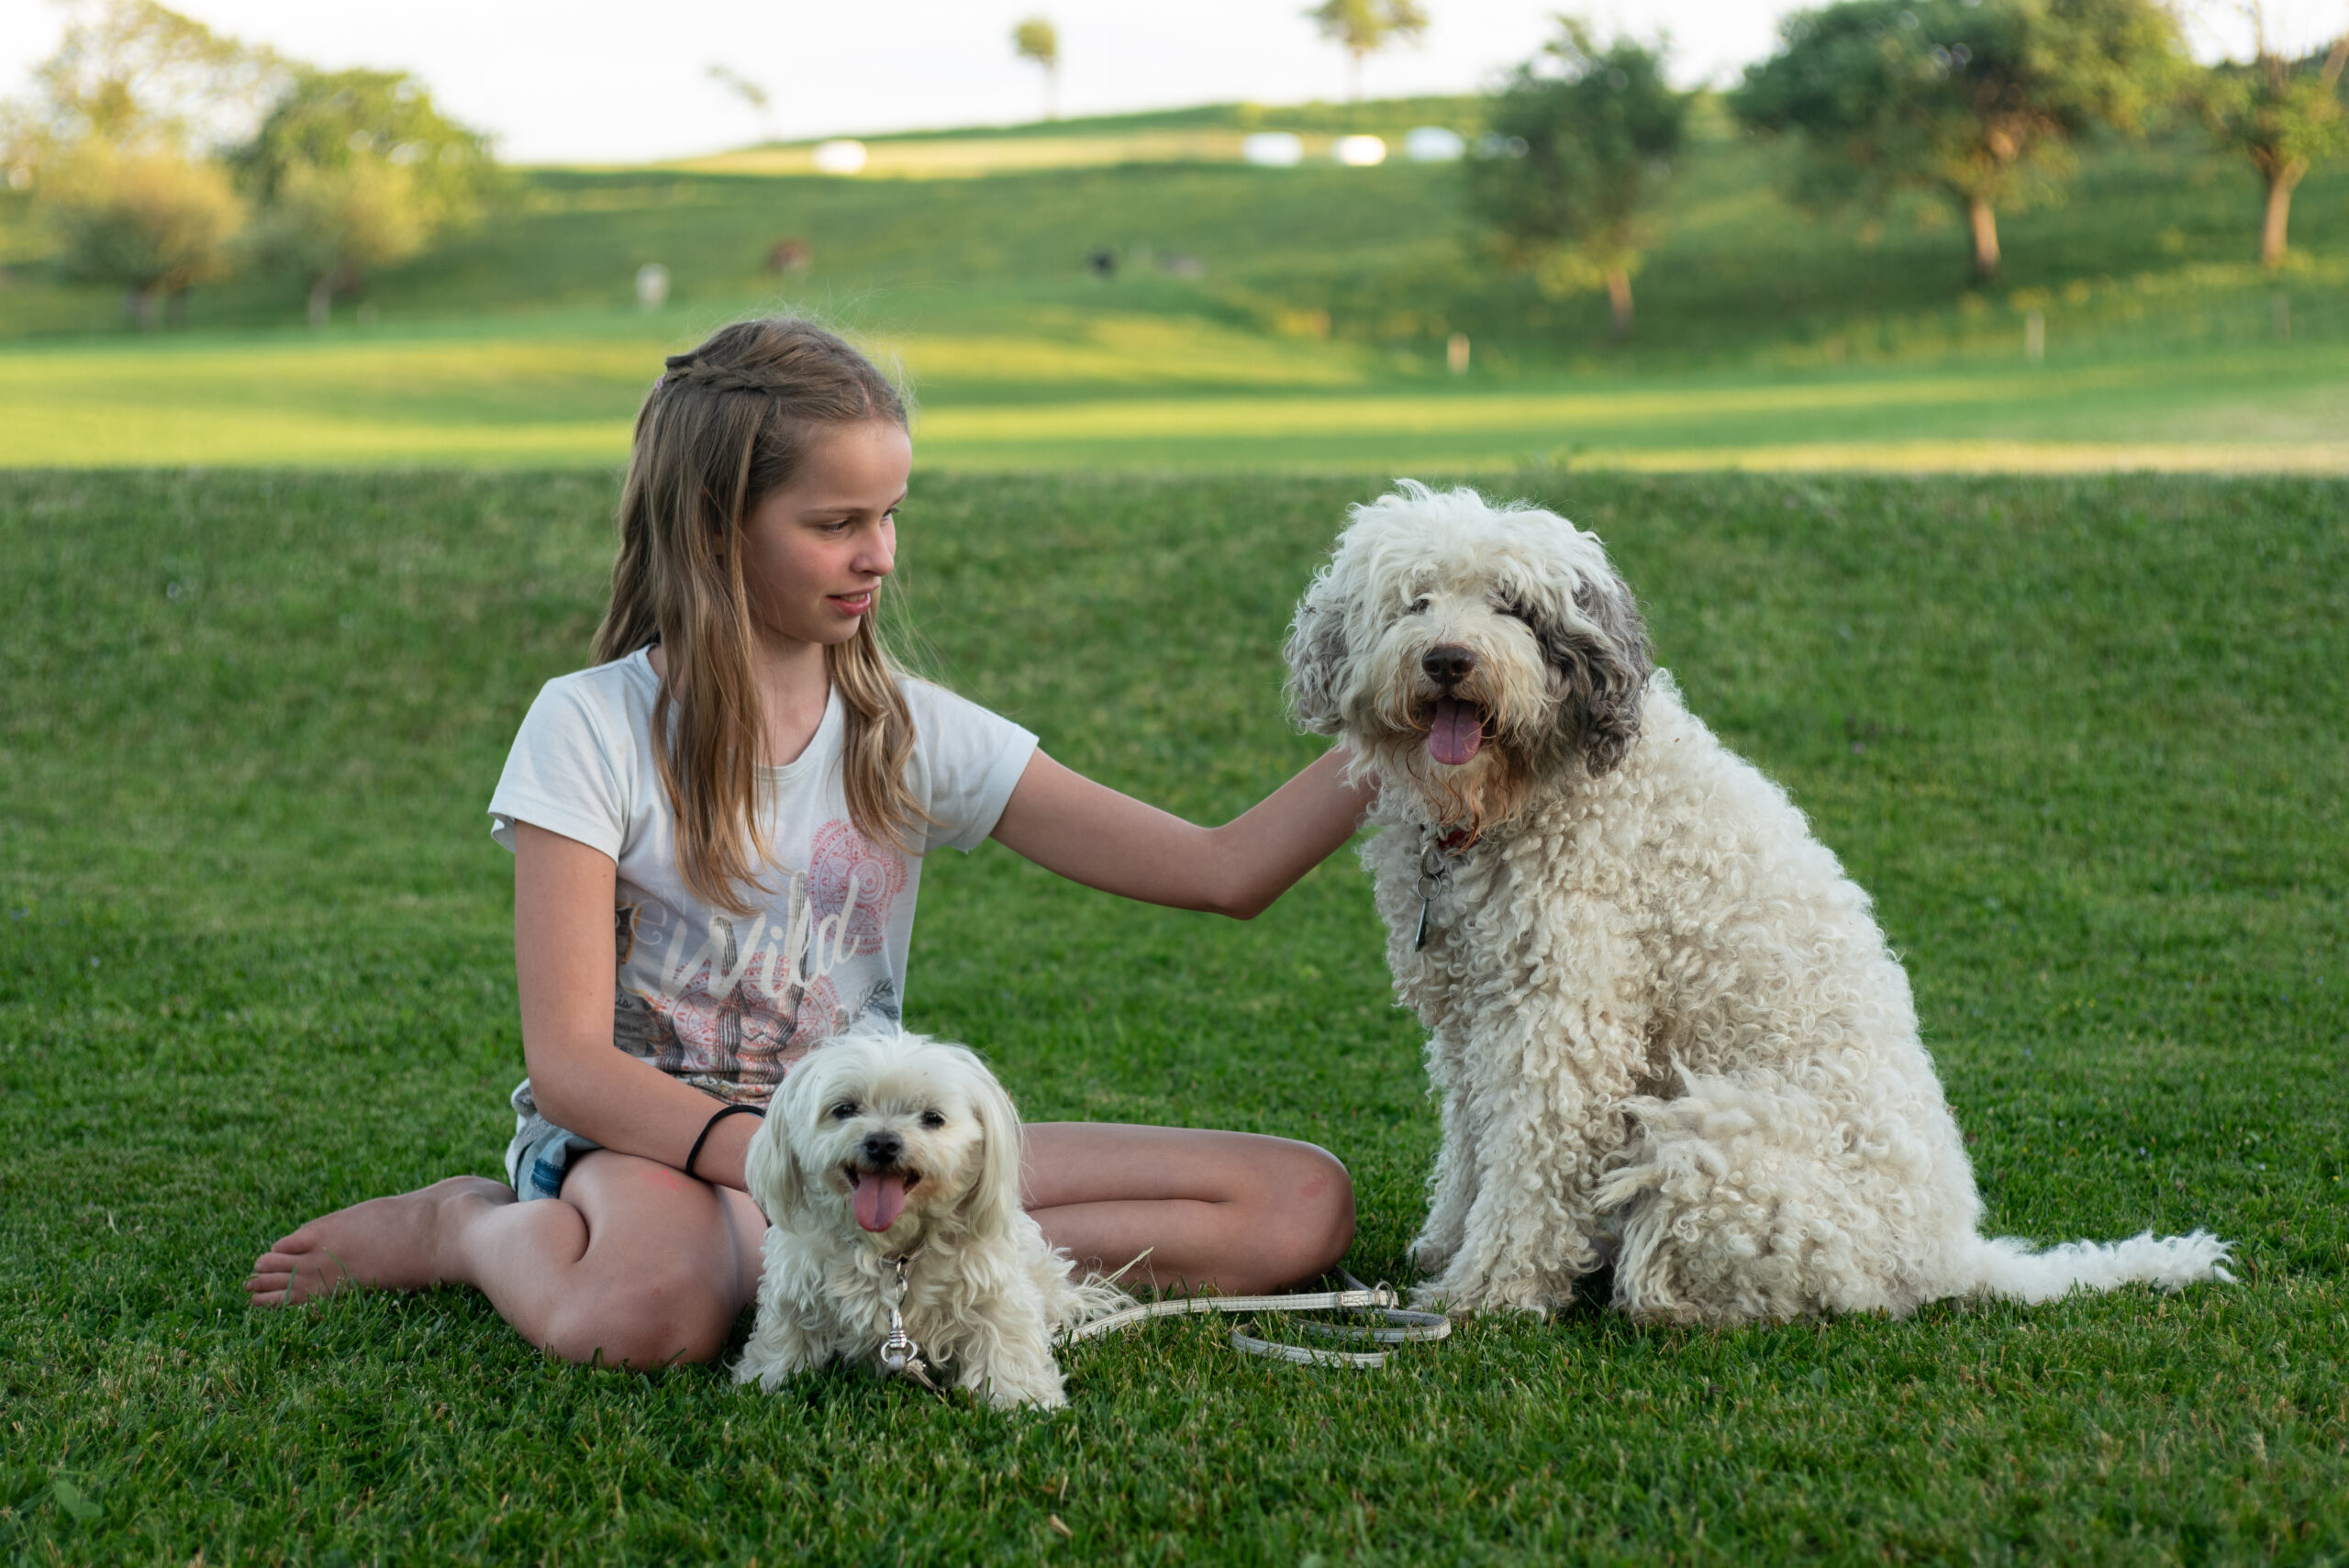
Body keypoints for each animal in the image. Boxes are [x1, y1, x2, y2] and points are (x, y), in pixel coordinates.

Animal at [737, 1018, 1131, 1408]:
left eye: (932, 1118)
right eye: (845, 1109)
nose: (883, 1142)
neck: (893, 1249)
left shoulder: (995, 1289)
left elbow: (1006, 1342)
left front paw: (1023, 1399)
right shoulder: (796, 1284)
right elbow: (783, 1338)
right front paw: (763, 1382)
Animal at [1297, 481, 2226, 1323]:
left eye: (1513, 606)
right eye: (1416, 601)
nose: (1449, 658)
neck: (1515, 803)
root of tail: (1953, 1254)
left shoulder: (1562, 1019)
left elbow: (1528, 1157)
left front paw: (1492, 1287)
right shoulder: (1470, 1008)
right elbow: (1471, 1137)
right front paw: (1446, 1242)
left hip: (1707, 1132)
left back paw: (1643, 1290)